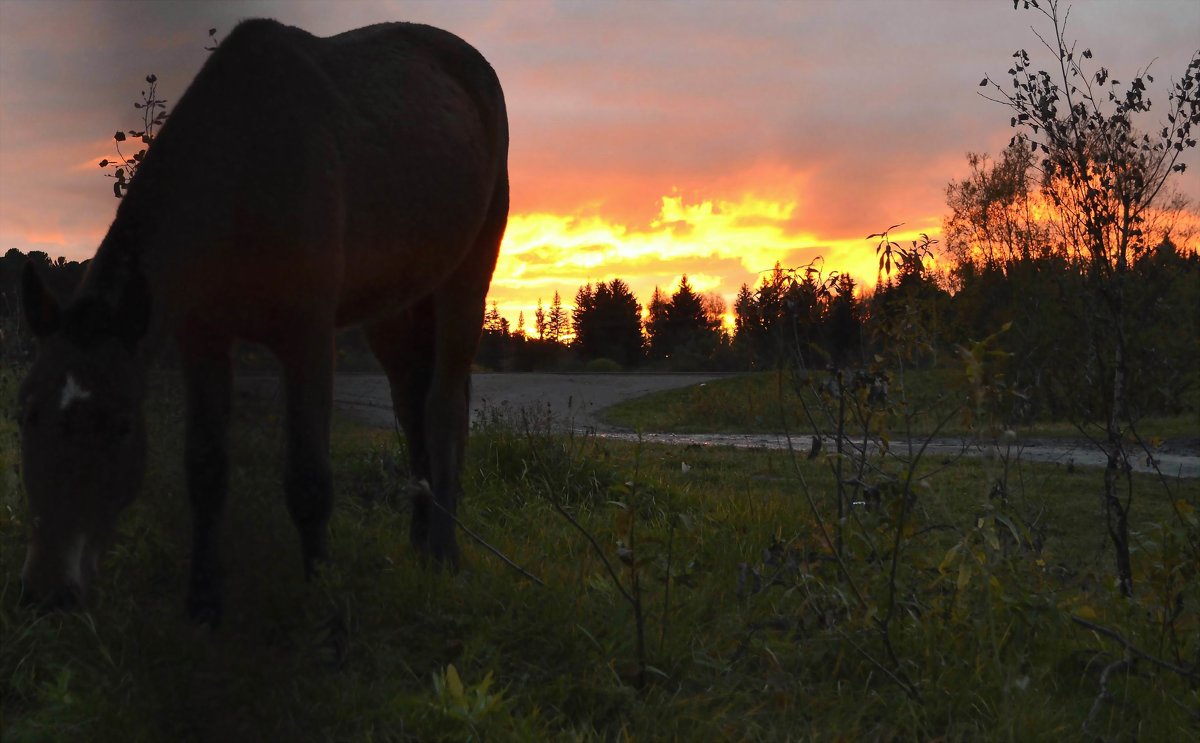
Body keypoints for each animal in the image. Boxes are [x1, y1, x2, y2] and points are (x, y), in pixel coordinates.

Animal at [17, 17, 506, 624]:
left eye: (123, 425)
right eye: (25, 413)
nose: (46, 593)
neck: (246, 171)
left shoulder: (309, 338)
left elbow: (309, 481)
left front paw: (323, 606)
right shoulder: (202, 338)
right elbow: (204, 468)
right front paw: (202, 605)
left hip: (467, 276)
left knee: (442, 409)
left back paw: (442, 553)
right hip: (395, 309)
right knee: (412, 404)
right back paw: (420, 542)